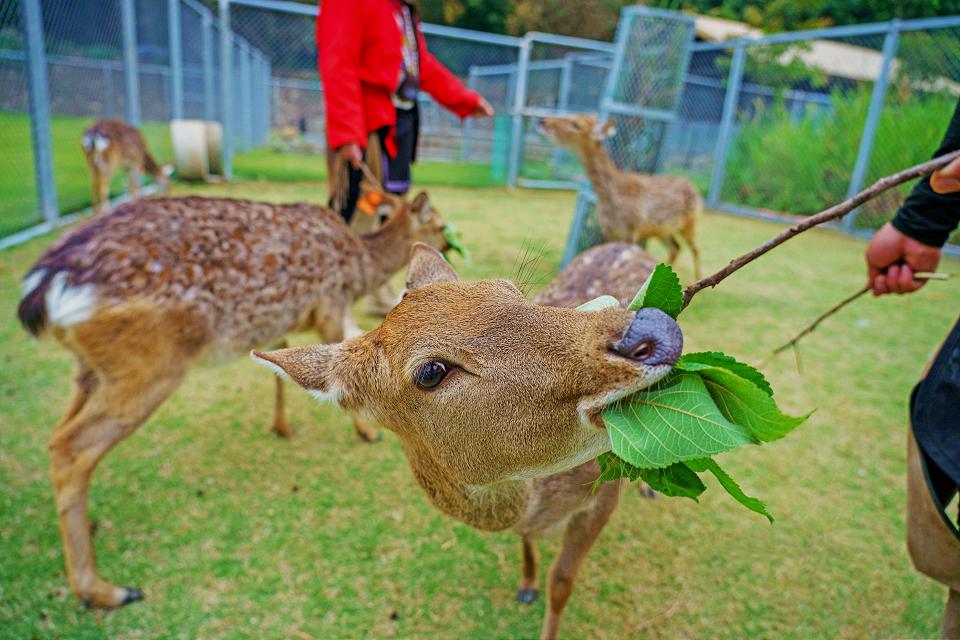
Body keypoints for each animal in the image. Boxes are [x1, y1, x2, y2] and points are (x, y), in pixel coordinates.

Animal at [15, 191, 450, 608]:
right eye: (439, 222)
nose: (447, 244)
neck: (359, 265)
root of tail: (43, 288)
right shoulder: (329, 304)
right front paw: (366, 432)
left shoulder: (282, 321)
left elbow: (279, 363)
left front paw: (281, 426)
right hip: (150, 361)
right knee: (71, 446)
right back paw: (102, 590)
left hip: (91, 368)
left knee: (57, 435)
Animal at [253, 241, 676, 640]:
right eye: (430, 371)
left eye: (512, 290)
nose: (655, 328)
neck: (540, 507)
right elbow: (530, 548)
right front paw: (526, 584)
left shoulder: (604, 495)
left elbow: (561, 584)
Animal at [540, 114, 704, 278]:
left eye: (576, 124)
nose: (543, 121)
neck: (612, 196)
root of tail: (696, 190)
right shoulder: (608, 229)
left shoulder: (632, 229)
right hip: (663, 229)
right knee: (676, 247)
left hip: (691, 222)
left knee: (695, 248)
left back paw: (697, 278)